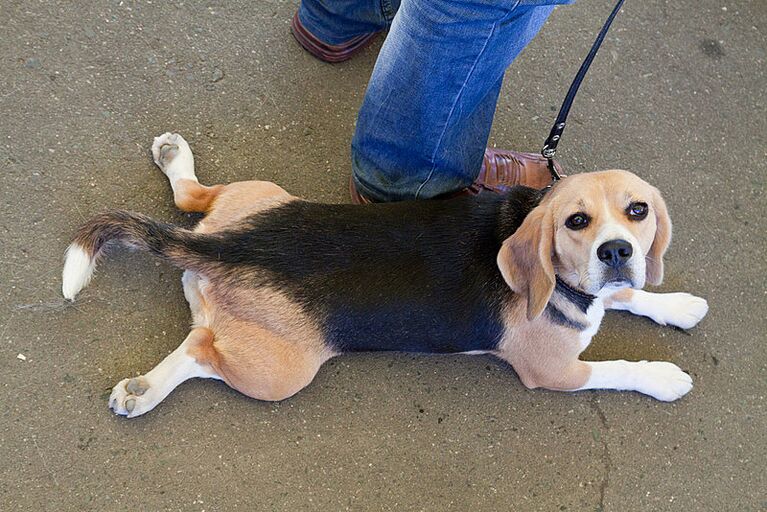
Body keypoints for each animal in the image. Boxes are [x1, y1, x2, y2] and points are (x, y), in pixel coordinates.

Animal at [63, 132, 712, 416]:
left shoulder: (606, 289)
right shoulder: (554, 372)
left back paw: (176, 159)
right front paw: (663, 377)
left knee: (193, 199)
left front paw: (677, 304)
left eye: (638, 211)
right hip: (281, 374)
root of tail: (226, 246)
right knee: (201, 349)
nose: (616, 251)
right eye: (576, 220)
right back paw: (146, 391)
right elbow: (618, 367)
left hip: (257, 197)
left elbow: (627, 296)